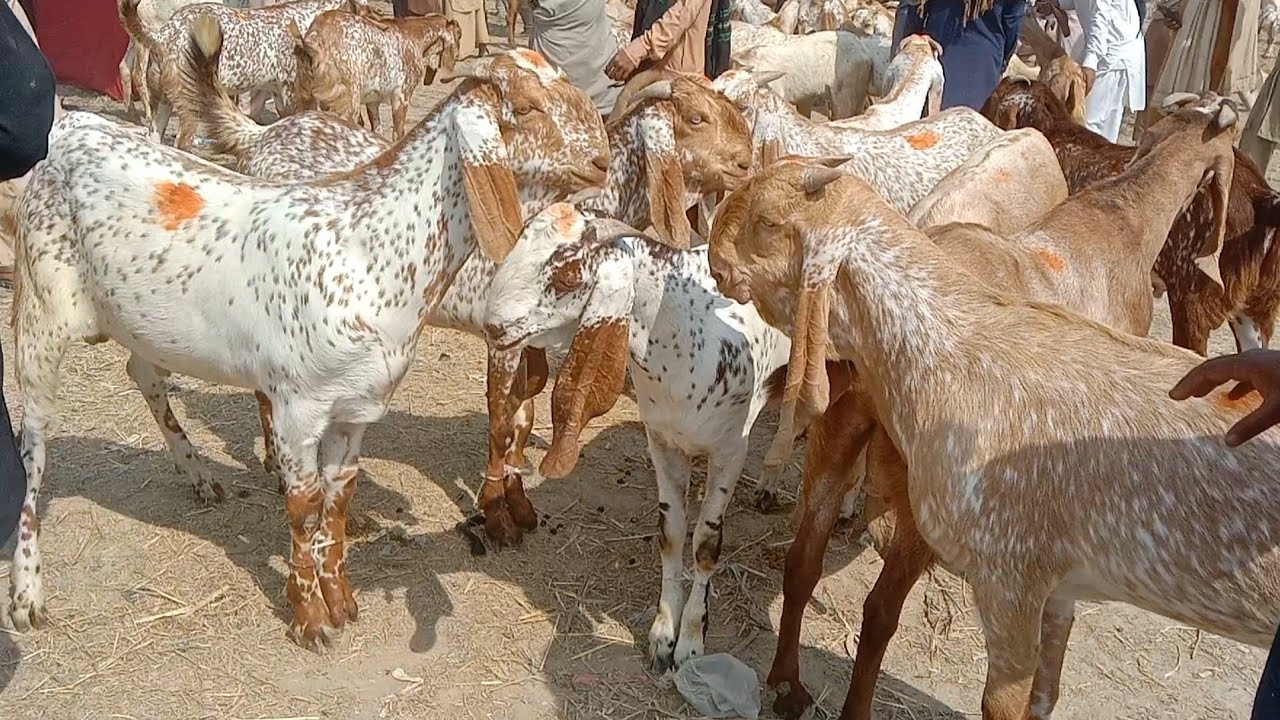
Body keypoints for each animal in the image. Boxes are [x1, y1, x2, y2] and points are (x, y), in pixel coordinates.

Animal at [7, 33, 609, 647]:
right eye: (527, 107)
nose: (602, 158)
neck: (367, 250)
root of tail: (71, 126)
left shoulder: (356, 408)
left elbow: (337, 497)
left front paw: (340, 599)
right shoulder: (299, 406)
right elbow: (303, 504)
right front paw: (310, 618)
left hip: (141, 321)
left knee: (143, 374)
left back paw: (199, 474)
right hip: (40, 315)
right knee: (35, 445)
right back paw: (28, 593)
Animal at [291, 9, 460, 138]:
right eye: (459, 35)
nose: (458, 56)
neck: (414, 37)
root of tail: (313, 41)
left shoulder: (372, 101)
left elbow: (377, 130)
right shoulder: (401, 98)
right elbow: (398, 134)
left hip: (307, 100)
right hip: (348, 105)